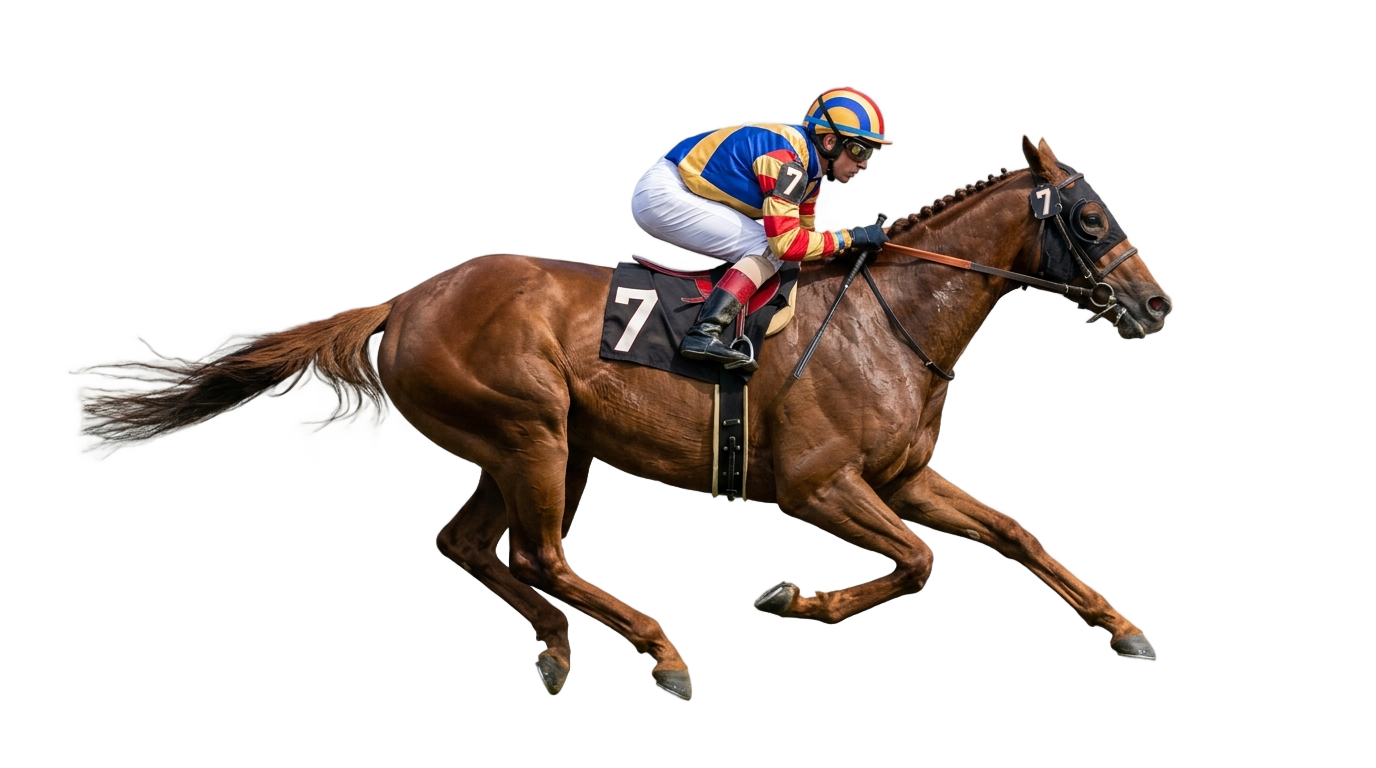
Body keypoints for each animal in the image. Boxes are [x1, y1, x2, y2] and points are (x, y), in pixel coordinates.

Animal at [83, 137, 1172, 699]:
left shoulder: (904, 476)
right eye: (1088, 219)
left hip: (522, 446)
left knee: (469, 549)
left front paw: (1124, 628)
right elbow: (919, 562)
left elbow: (1012, 534)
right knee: (542, 556)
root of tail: (399, 303)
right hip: (534, 435)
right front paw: (798, 602)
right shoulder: (821, 483)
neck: (886, 317)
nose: (1159, 304)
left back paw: (557, 649)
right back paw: (661, 651)